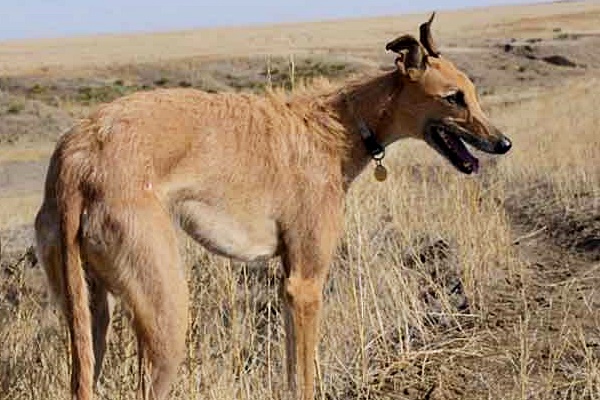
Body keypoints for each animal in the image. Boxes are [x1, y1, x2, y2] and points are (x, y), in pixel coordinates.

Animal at [34, 14, 510, 400]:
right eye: (454, 97)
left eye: (472, 93)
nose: (503, 144)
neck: (341, 126)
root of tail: (76, 158)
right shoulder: (306, 285)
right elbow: (305, 376)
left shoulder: (287, 283)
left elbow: (290, 369)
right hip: (165, 313)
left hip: (90, 312)